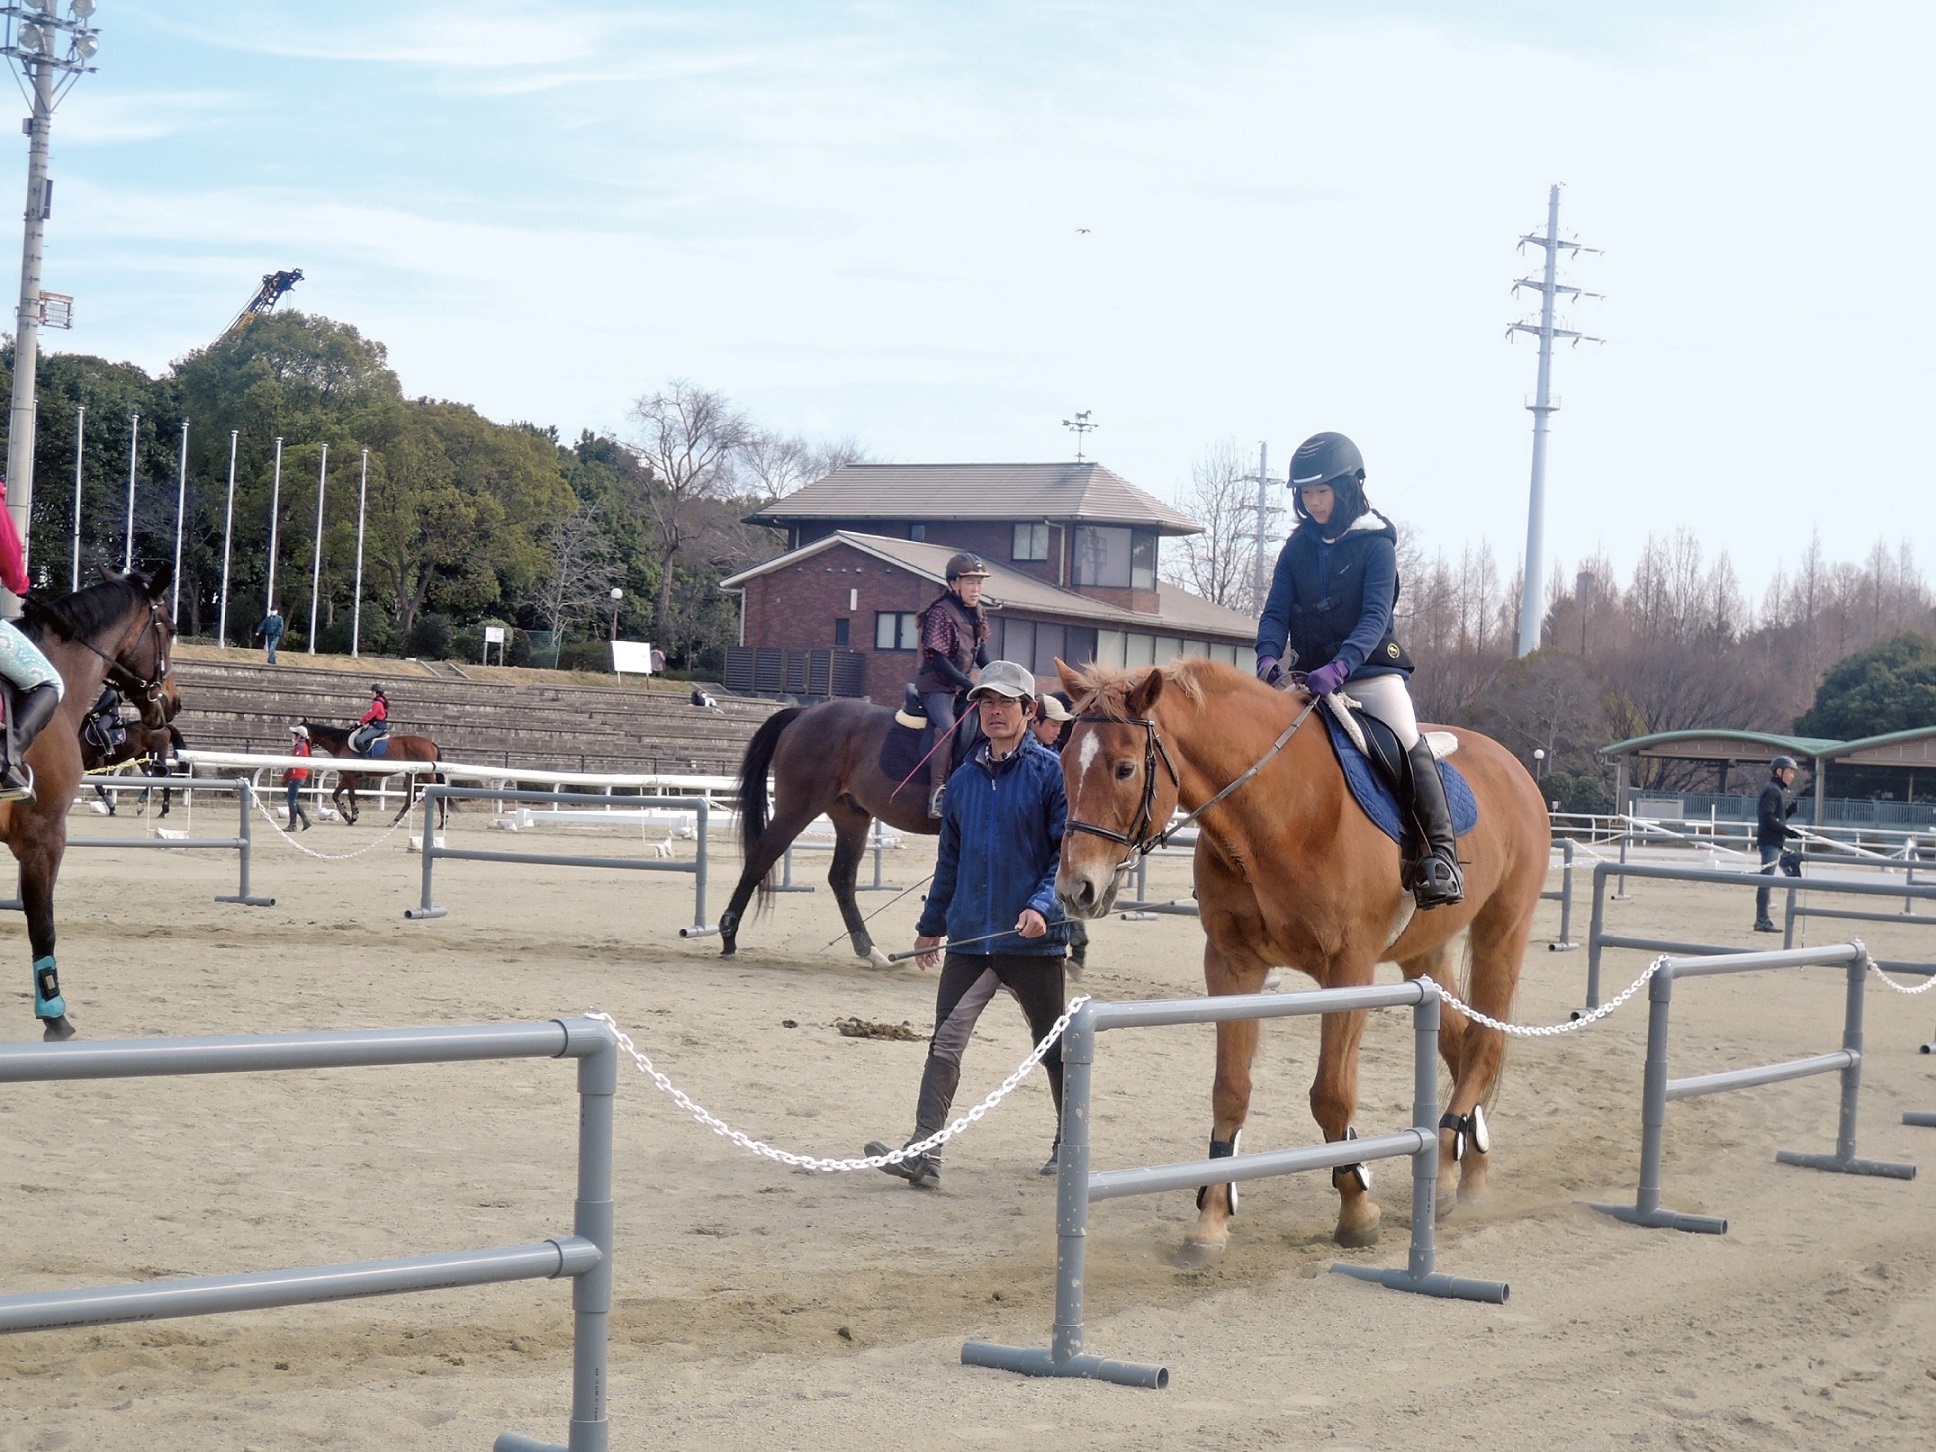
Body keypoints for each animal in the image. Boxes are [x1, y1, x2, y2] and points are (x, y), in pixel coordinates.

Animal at [299, 721, 446, 829]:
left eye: (301, 736)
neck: (340, 743)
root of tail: (431, 743)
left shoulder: (350, 777)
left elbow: (351, 795)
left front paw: (353, 816)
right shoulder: (348, 777)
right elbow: (336, 795)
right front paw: (347, 816)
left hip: (426, 775)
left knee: (438, 795)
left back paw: (442, 823)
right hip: (412, 775)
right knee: (410, 798)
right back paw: (395, 821)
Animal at [718, 699, 950, 967]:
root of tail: (805, 712)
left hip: (850, 817)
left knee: (841, 877)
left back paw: (870, 951)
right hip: (796, 809)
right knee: (761, 858)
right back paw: (728, 936)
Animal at [1054, 657, 1548, 1260]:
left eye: (1124, 769)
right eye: (1063, 764)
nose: (1076, 889)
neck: (1280, 812)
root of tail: (1512, 765)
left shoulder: (1350, 969)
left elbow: (1331, 1095)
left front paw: (1357, 1212)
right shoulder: (1232, 965)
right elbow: (1230, 1092)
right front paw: (1210, 1222)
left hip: (1502, 932)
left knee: (1484, 1045)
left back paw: (1455, 1173)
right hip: (1425, 952)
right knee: (1457, 1044)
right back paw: (1464, 1173)